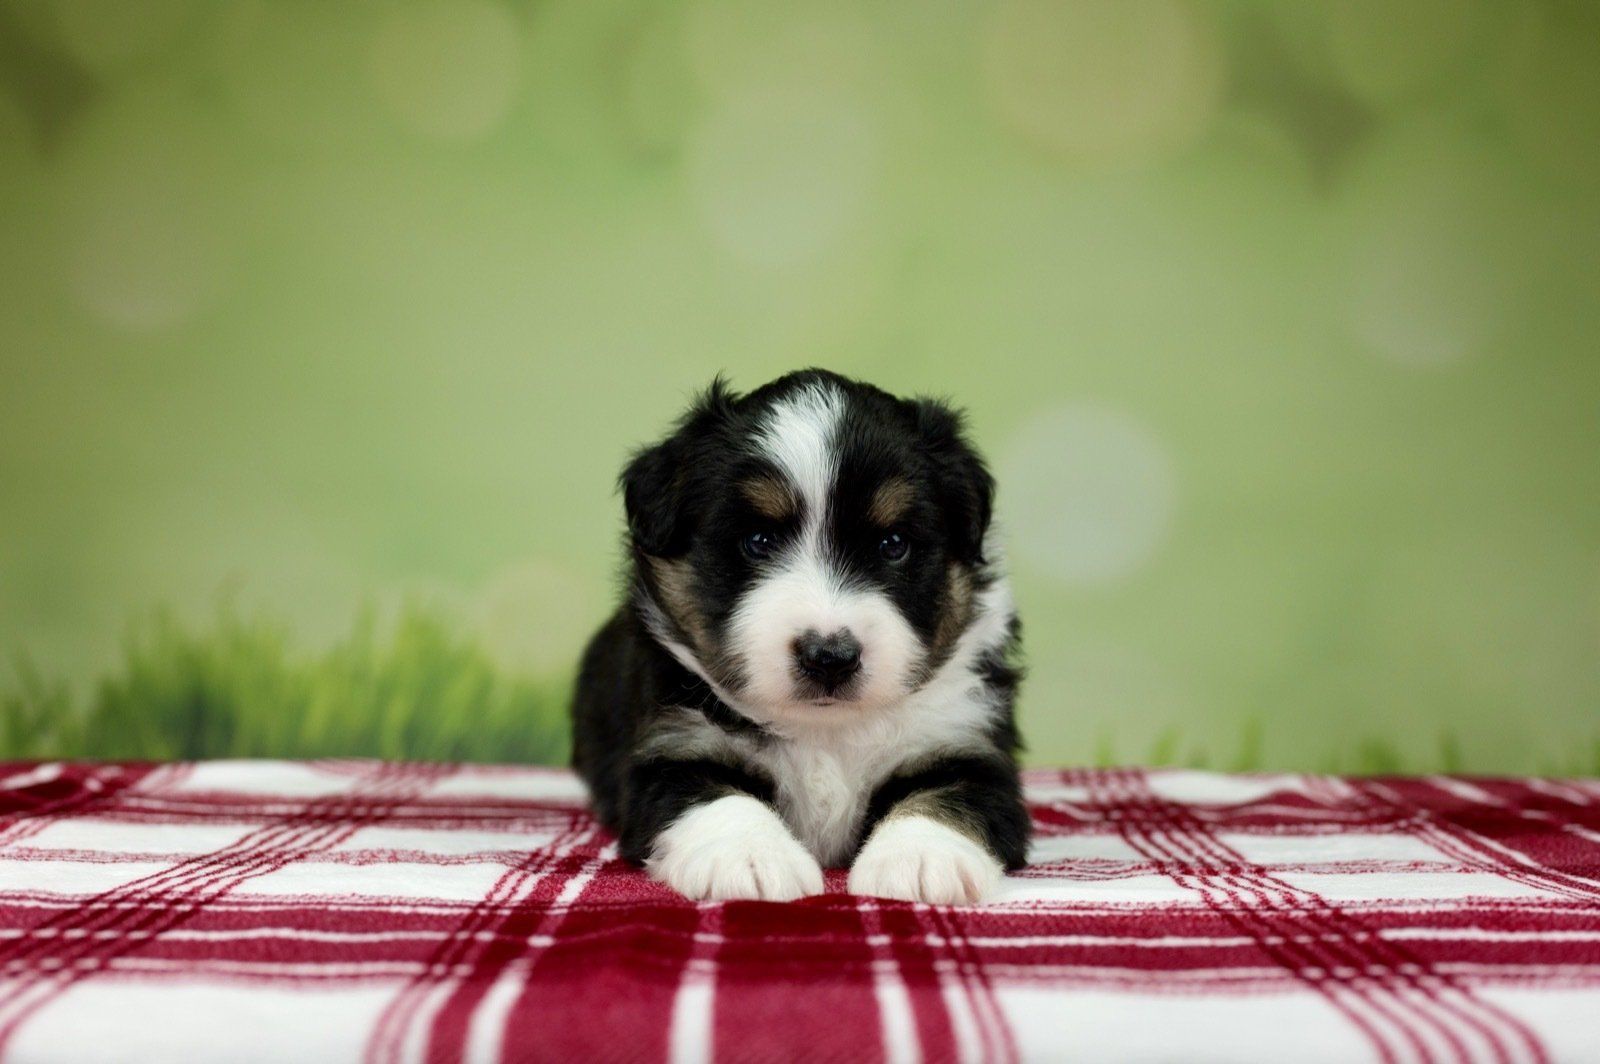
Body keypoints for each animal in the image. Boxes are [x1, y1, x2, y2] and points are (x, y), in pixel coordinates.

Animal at [571, 370, 1028, 904]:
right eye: (757, 541)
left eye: (893, 545)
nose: (829, 657)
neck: (825, 732)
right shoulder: (674, 746)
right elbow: (715, 797)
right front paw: (749, 858)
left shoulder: (965, 740)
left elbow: (947, 796)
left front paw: (919, 858)